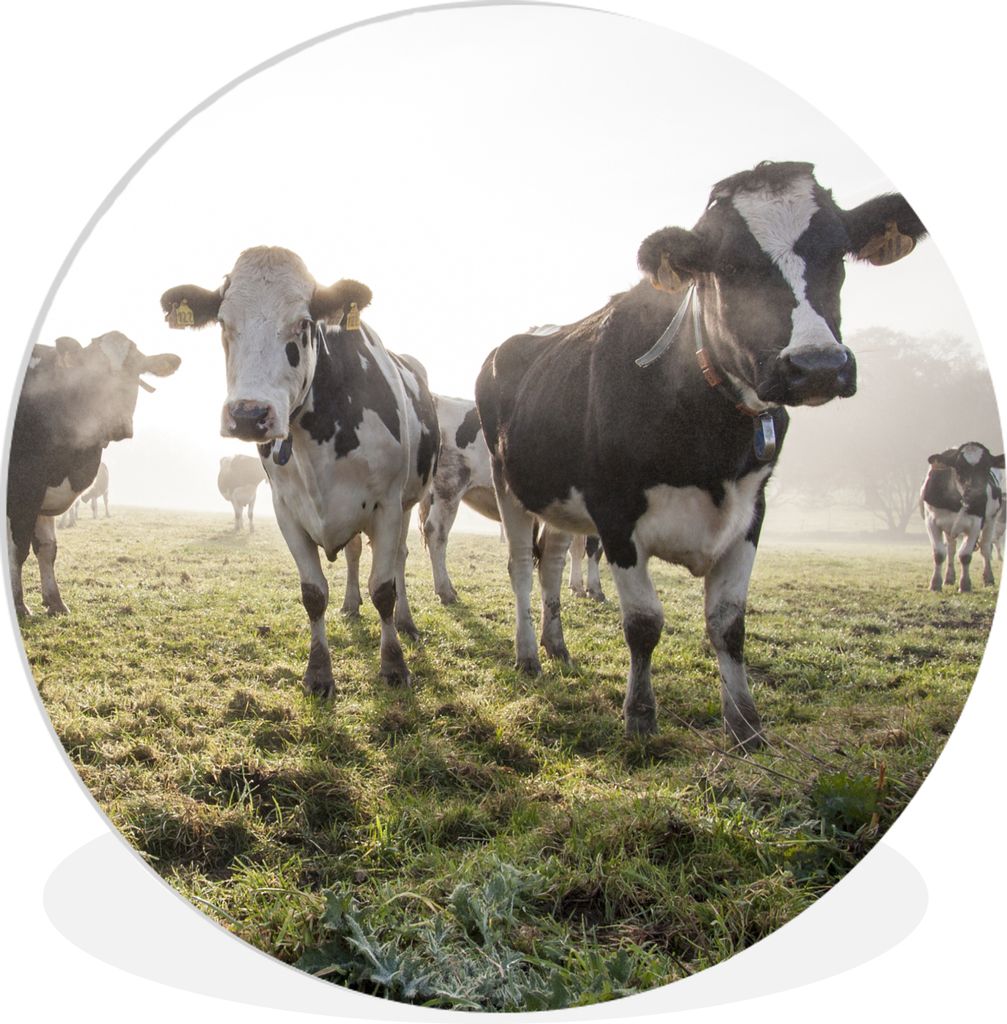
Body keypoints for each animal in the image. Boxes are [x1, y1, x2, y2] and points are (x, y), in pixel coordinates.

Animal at [8, 333, 180, 616]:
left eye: (136, 369)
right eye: (92, 373)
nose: (119, 424)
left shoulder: (45, 492)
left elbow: (47, 548)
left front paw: (55, 601)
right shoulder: (24, 489)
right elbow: (18, 549)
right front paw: (19, 605)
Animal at [160, 246, 439, 694]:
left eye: (304, 323)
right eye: (223, 323)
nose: (249, 414)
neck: (320, 433)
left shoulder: (387, 505)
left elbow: (384, 589)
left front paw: (394, 665)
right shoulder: (286, 509)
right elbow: (313, 594)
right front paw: (319, 672)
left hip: (410, 500)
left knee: (398, 559)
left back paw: (407, 623)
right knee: (355, 553)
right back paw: (350, 604)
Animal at [476, 160, 926, 751]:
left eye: (838, 253)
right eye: (730, 266)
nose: (817, 365)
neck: (709, 434)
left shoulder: (752, 509)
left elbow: (728, 623)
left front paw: (745, 725)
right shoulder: (615, 513)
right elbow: (644, 623)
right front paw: (641, 718)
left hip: (560, 499)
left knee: (550, 563)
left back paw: (557, 647)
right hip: (509, 482)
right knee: (521, 568)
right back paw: (528, 655)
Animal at [920, 442, 1004, 592]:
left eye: (987, 467)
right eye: (959, 467)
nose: (977, 496)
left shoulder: (976, 524)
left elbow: (965, 555)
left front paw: (965, 585)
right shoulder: (931, 522)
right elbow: (939, 554)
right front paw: (935, 584)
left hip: (991, 520)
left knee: (985, 548)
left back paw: (988, 578)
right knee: (951, 549)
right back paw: (949, 578)